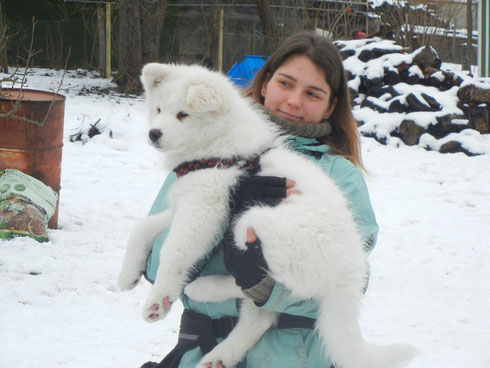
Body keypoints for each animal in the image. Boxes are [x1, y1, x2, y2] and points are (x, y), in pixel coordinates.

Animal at [117, 63, 416, 368]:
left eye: (182, 115)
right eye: (158, 109)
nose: (153, 133)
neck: (214, 146)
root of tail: (349, 273)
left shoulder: (204, 207)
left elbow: (173, 251)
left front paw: (158, 300)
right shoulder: (183, 204)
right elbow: (143, 227)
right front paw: (127, 275)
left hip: (252, 225)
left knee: (261, 285)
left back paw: (204, 289)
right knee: (260, 313)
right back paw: (219, 355)